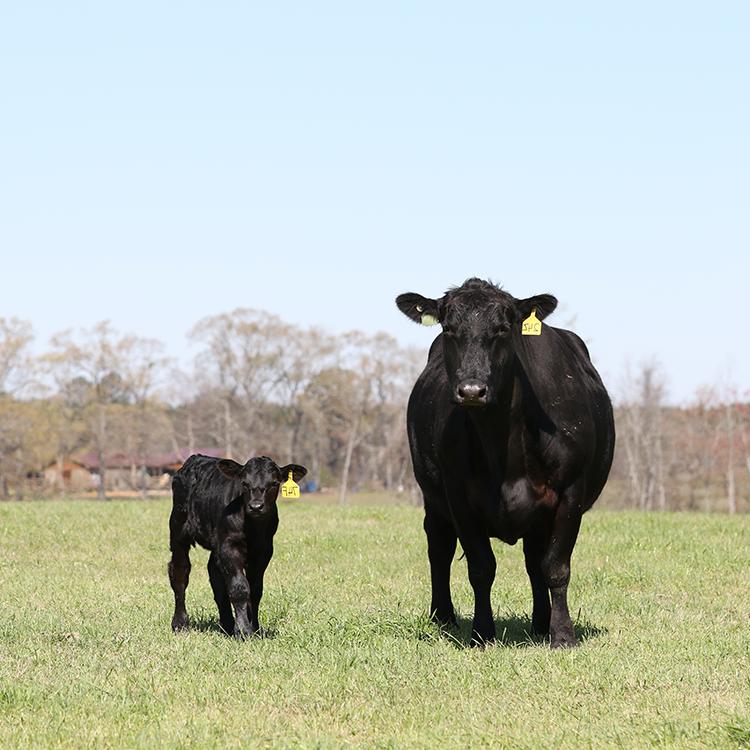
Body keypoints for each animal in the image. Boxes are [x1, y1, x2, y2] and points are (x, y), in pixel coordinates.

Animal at [169, 452, 306, 640]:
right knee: (180, 572)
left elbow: (255, 590)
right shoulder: (229, 546)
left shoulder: (264, 551)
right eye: (244, 483)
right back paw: (180, 624)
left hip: (216, 543)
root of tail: (194, 458)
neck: (253, 529)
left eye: (274, 483)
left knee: (215, 574)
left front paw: (254, 628)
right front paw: (243, 631)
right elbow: (239, 587)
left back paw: (226, 625)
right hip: (178, 528)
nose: (256, 506)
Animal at [396, 280, 612, 648]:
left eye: (502, 329)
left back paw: (541, 624)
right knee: (439, 547)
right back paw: (443, 617)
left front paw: (562, 634)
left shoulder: (570, 493)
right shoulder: (458, 497)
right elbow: (481, 568)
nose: (471, 390)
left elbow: (555, 567)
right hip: (432, 496)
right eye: (448, 328)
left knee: (534, 561)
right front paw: (482, 632)